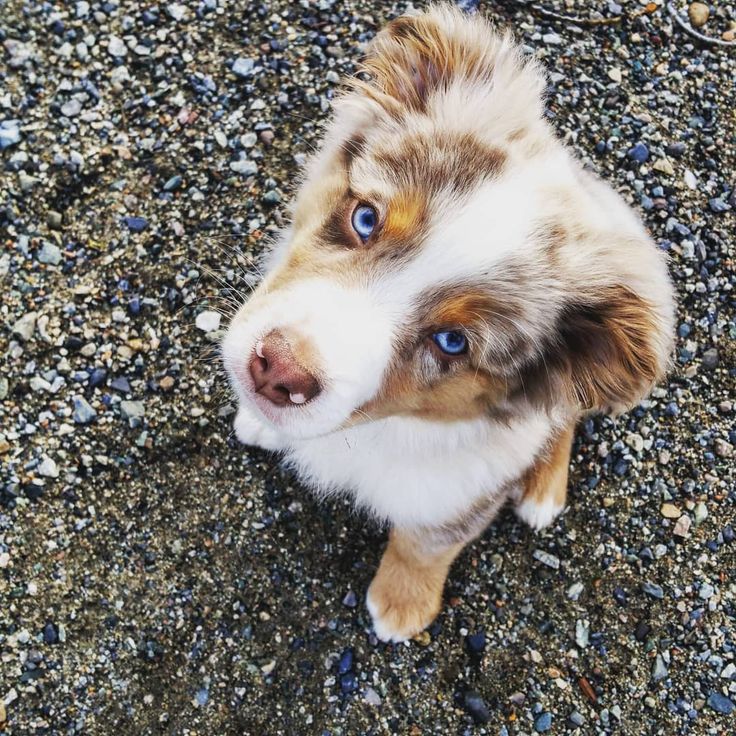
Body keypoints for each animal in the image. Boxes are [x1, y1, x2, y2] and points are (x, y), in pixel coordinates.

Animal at [221, 2, 676, 640]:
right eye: (365, 218)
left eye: (452, 342)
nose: (275, 371)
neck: (377, 431)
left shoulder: (460, 490)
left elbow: (425, 544)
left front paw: (401, 605)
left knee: (562, 414)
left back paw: (542, 491)